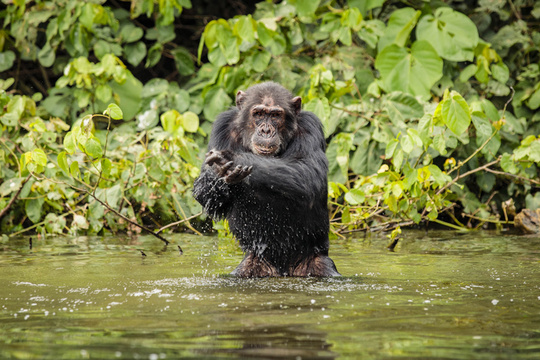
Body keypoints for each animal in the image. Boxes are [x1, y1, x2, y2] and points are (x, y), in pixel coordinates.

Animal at [192, 82, 340, 278]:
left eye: (276, 115)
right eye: (259, 114)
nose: (266, 130)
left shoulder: (310, 126)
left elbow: (308, 173)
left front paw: (231, 158)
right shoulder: (221, 126)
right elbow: (206, 195)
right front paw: (215, 174)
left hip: (316, 260)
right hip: (255, 262)